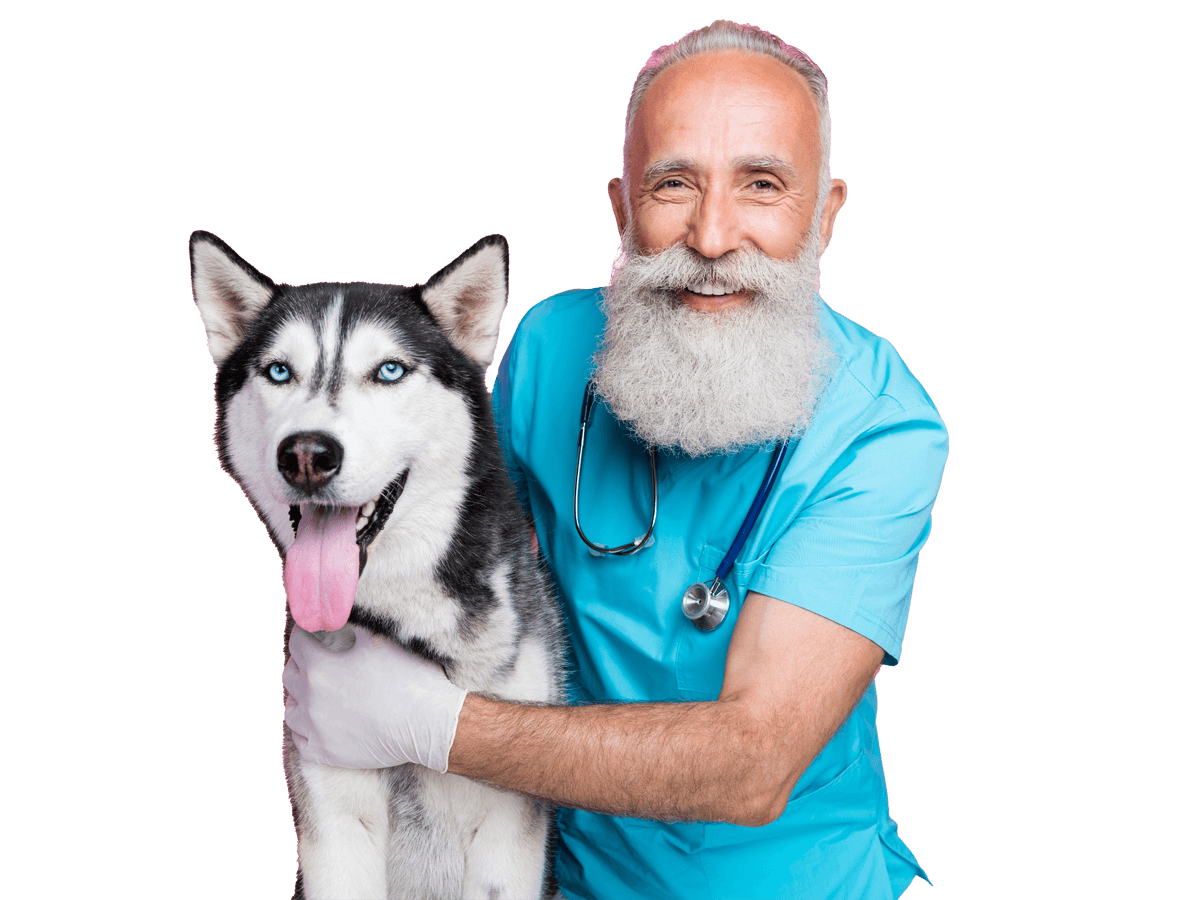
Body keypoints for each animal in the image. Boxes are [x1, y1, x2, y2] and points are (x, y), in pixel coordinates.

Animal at [189, 234, 564, 900]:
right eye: (278, 371)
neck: (403, 624)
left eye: (389, 371)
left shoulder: (507, 826)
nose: (307, 454)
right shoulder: (333, 825)